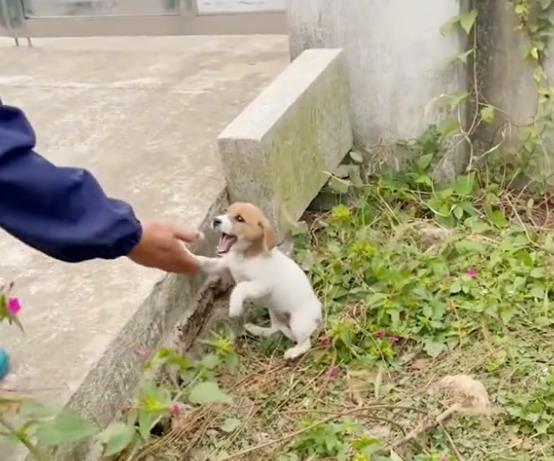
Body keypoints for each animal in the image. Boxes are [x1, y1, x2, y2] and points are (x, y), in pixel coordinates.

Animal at [195, 202, 322, 360]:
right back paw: (256, 330)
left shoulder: (262, 286)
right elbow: (204, 262)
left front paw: (234, 307)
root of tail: (319, 311)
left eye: (240, 218)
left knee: (305, 343)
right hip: (274, 312)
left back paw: (293, 352)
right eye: (226, 211)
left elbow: (241, 287)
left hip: (298, 322)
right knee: (276, 329)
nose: (215, 220)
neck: (245, 257)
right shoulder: (223, 264)